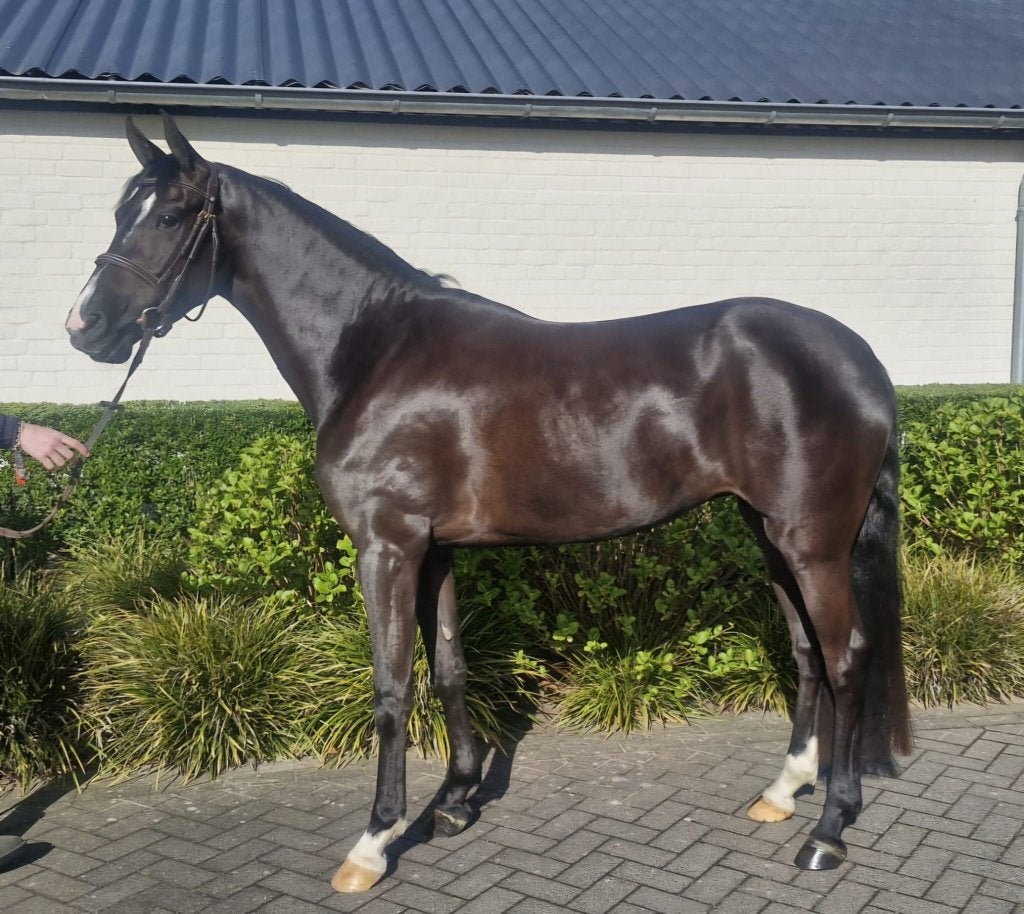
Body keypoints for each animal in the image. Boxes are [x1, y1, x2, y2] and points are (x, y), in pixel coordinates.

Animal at [66, 114, 911, 891]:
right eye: (120, 211)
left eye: (169, 216)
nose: (85, 327)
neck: (374, 351)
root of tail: (860, 358)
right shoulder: (433, 550)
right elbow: (449, 671)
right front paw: (455, 799)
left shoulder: (387, 548)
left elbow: (392, 689)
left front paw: (374, 841)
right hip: (769, 533)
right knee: (806, 651)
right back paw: (784, 791)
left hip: (812, 542)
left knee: (845, 655)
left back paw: (828, 831)